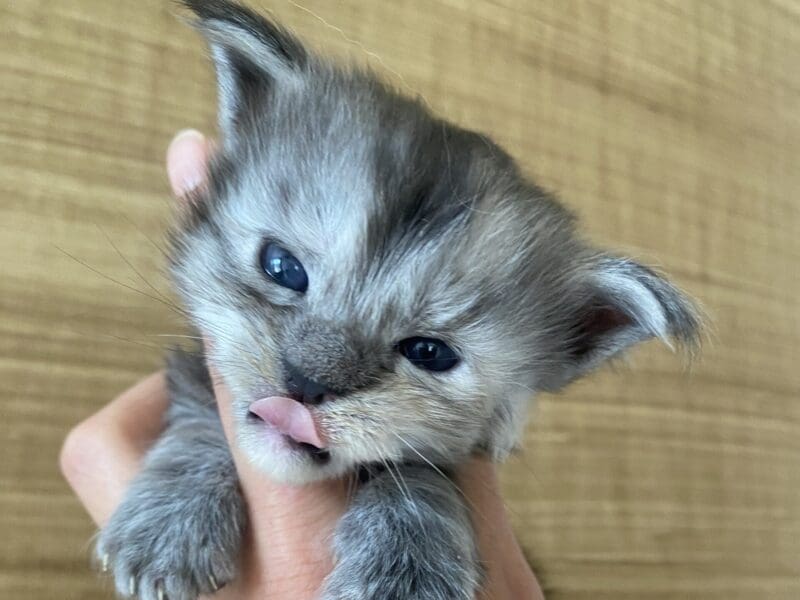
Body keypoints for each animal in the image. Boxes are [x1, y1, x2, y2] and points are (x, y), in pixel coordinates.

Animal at [95, 1, 700, 600]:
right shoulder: (197, 367)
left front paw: (405, 564)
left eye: (429, 352)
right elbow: (200, 413)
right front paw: (172, 519)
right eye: (283, 268)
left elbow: (417, 474)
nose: (305, 384)